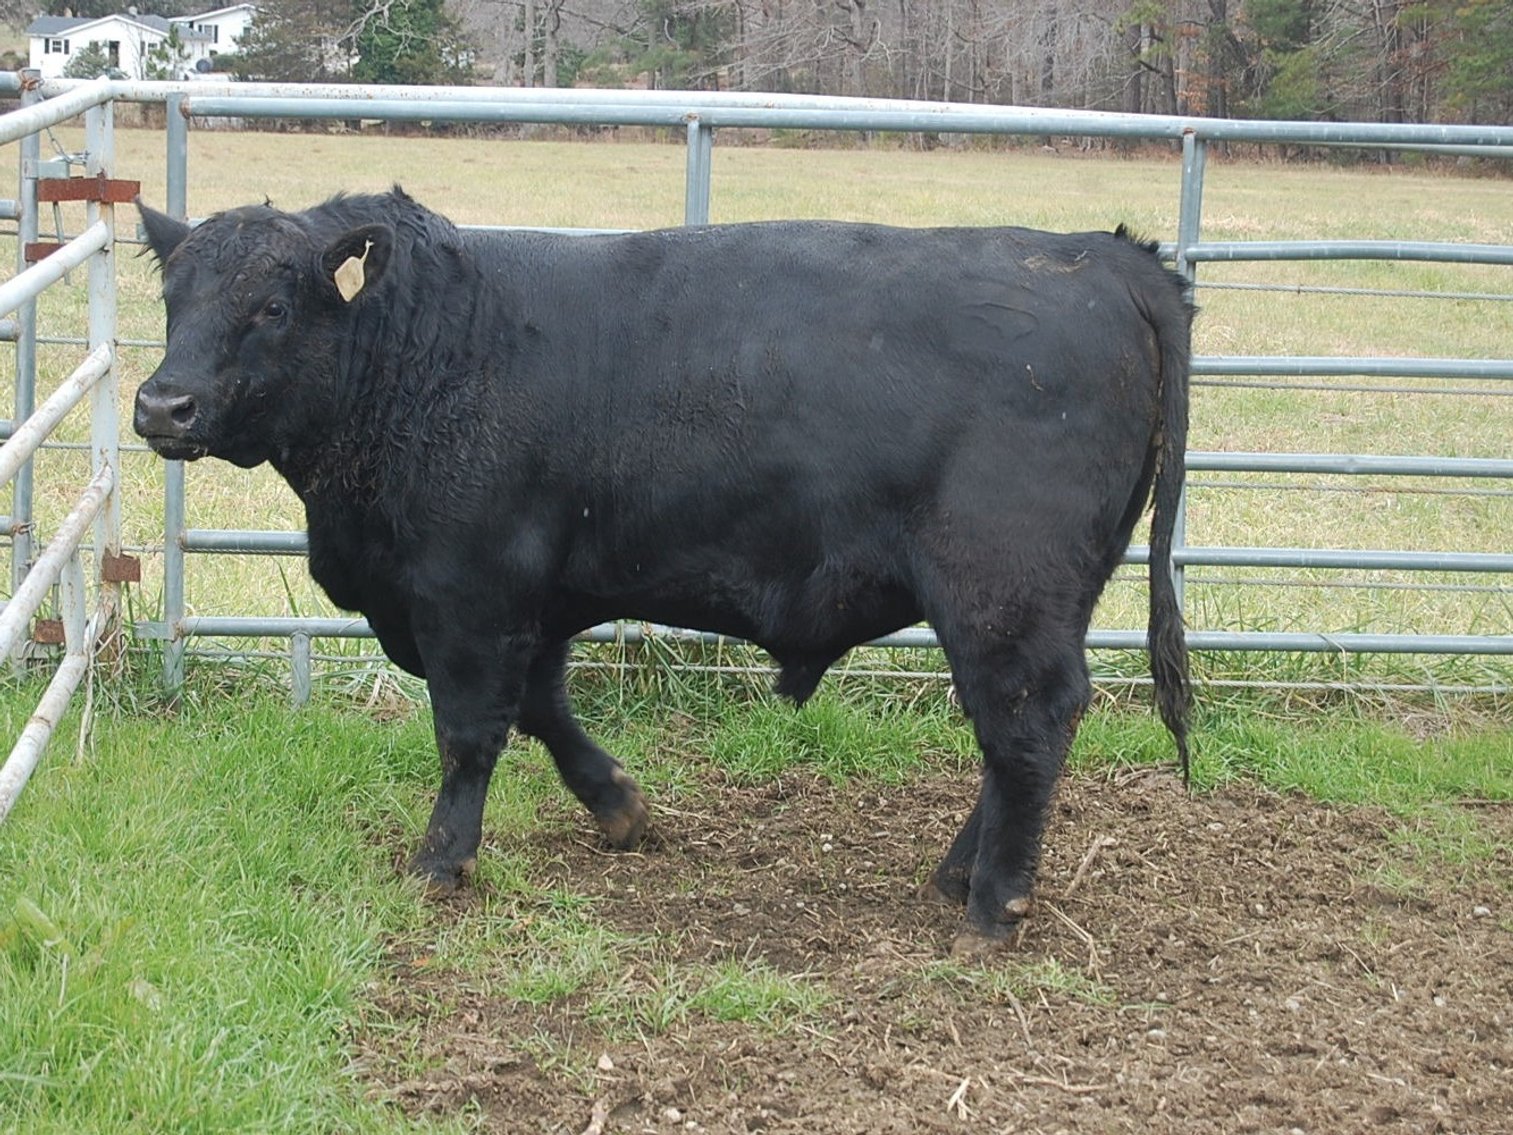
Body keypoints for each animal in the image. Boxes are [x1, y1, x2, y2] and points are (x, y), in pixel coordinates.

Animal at [134, 188, 1191, 955]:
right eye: (172, 301)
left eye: (272, 305)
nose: (161, 405)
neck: (429, 352)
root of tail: (1102, 253)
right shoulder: (536, 600)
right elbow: (544, 710)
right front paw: (619, 805)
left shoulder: (469, 595)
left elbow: (469, 734)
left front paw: (440, 860)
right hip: (1048, 595)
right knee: (1023, 729)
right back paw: (959, 873)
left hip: (999, 590)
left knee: (1025, 724)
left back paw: (992, 904)